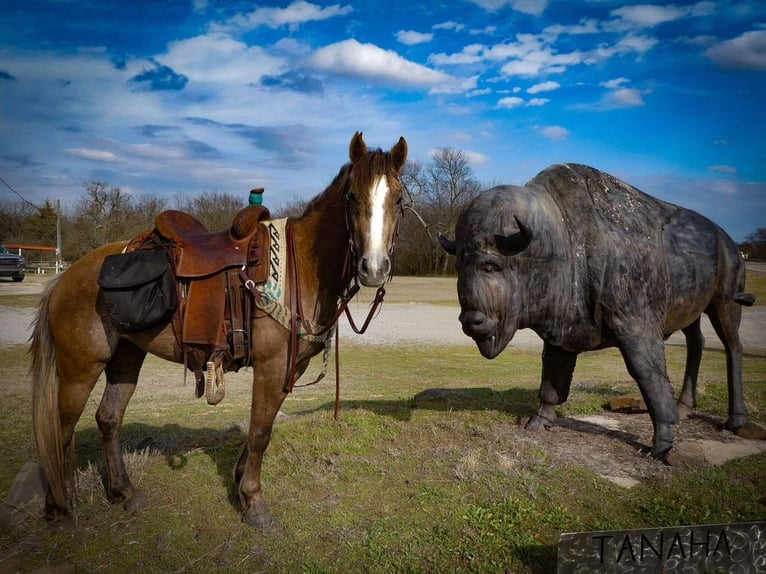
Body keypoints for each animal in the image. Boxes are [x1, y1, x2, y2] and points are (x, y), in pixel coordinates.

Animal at [30, 132, 408, 528]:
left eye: (398, 199)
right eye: (352, 197)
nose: (373, 268)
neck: (299, 264)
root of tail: (64, 278)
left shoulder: (289, 368)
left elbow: (261, 426)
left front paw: (241, 480)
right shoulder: (272, 367)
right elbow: (260, 431)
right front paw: (253, 501)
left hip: (125, 358)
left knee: (108, 419)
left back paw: (124, 492)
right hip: (80, 368)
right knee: (61, 430)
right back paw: (58, 507)